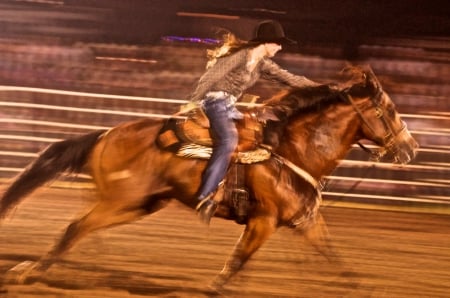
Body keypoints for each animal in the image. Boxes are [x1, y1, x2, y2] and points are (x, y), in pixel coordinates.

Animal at [0, 65, 418, 292]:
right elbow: (237, 262)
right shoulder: (264, 221)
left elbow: (334, 259)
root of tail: (106, 134)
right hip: (121, 200)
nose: (411, 148)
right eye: (388, 110)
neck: (292, 150)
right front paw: (214, 287)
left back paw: (37, 269)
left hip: (139, 205)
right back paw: (30, 273)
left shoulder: (305, 221)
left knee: (81, 229)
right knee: (75, 227)